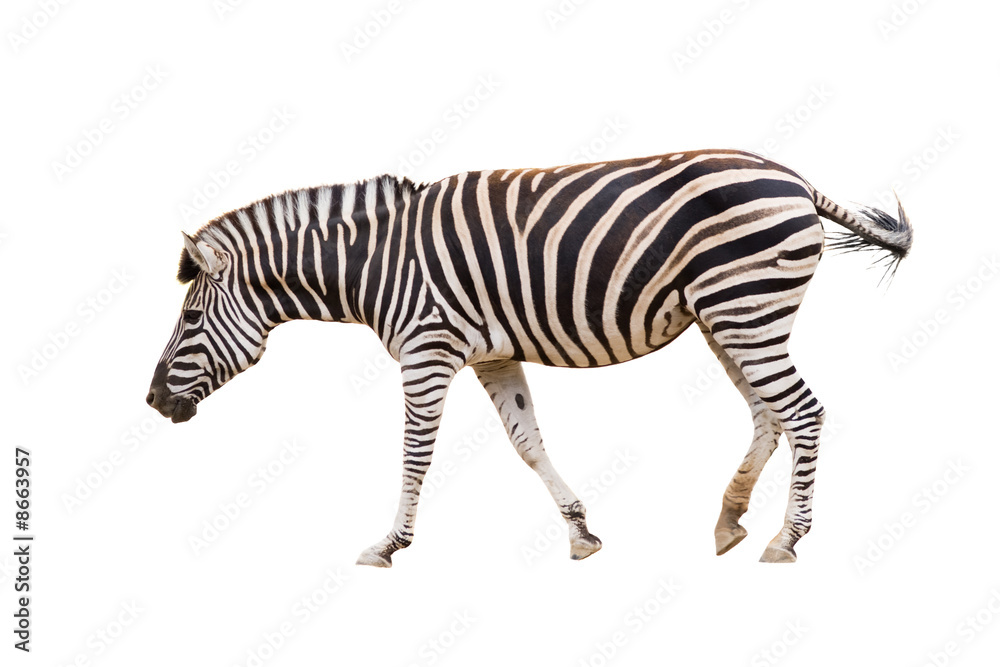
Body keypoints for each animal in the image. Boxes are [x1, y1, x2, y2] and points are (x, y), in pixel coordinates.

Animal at [146, 149, 912, 566]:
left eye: (189, 319)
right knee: (766, 414)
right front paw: (580, 532)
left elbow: (414, 453)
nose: (152, 402)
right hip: (727, 316)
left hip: (746, 307)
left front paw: (389, 543)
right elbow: (527, 443)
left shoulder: (427, 349)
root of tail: (794, 178)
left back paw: (786, 538)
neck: (377, 262)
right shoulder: (492, 355)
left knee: (804, 412)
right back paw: (729, 518)